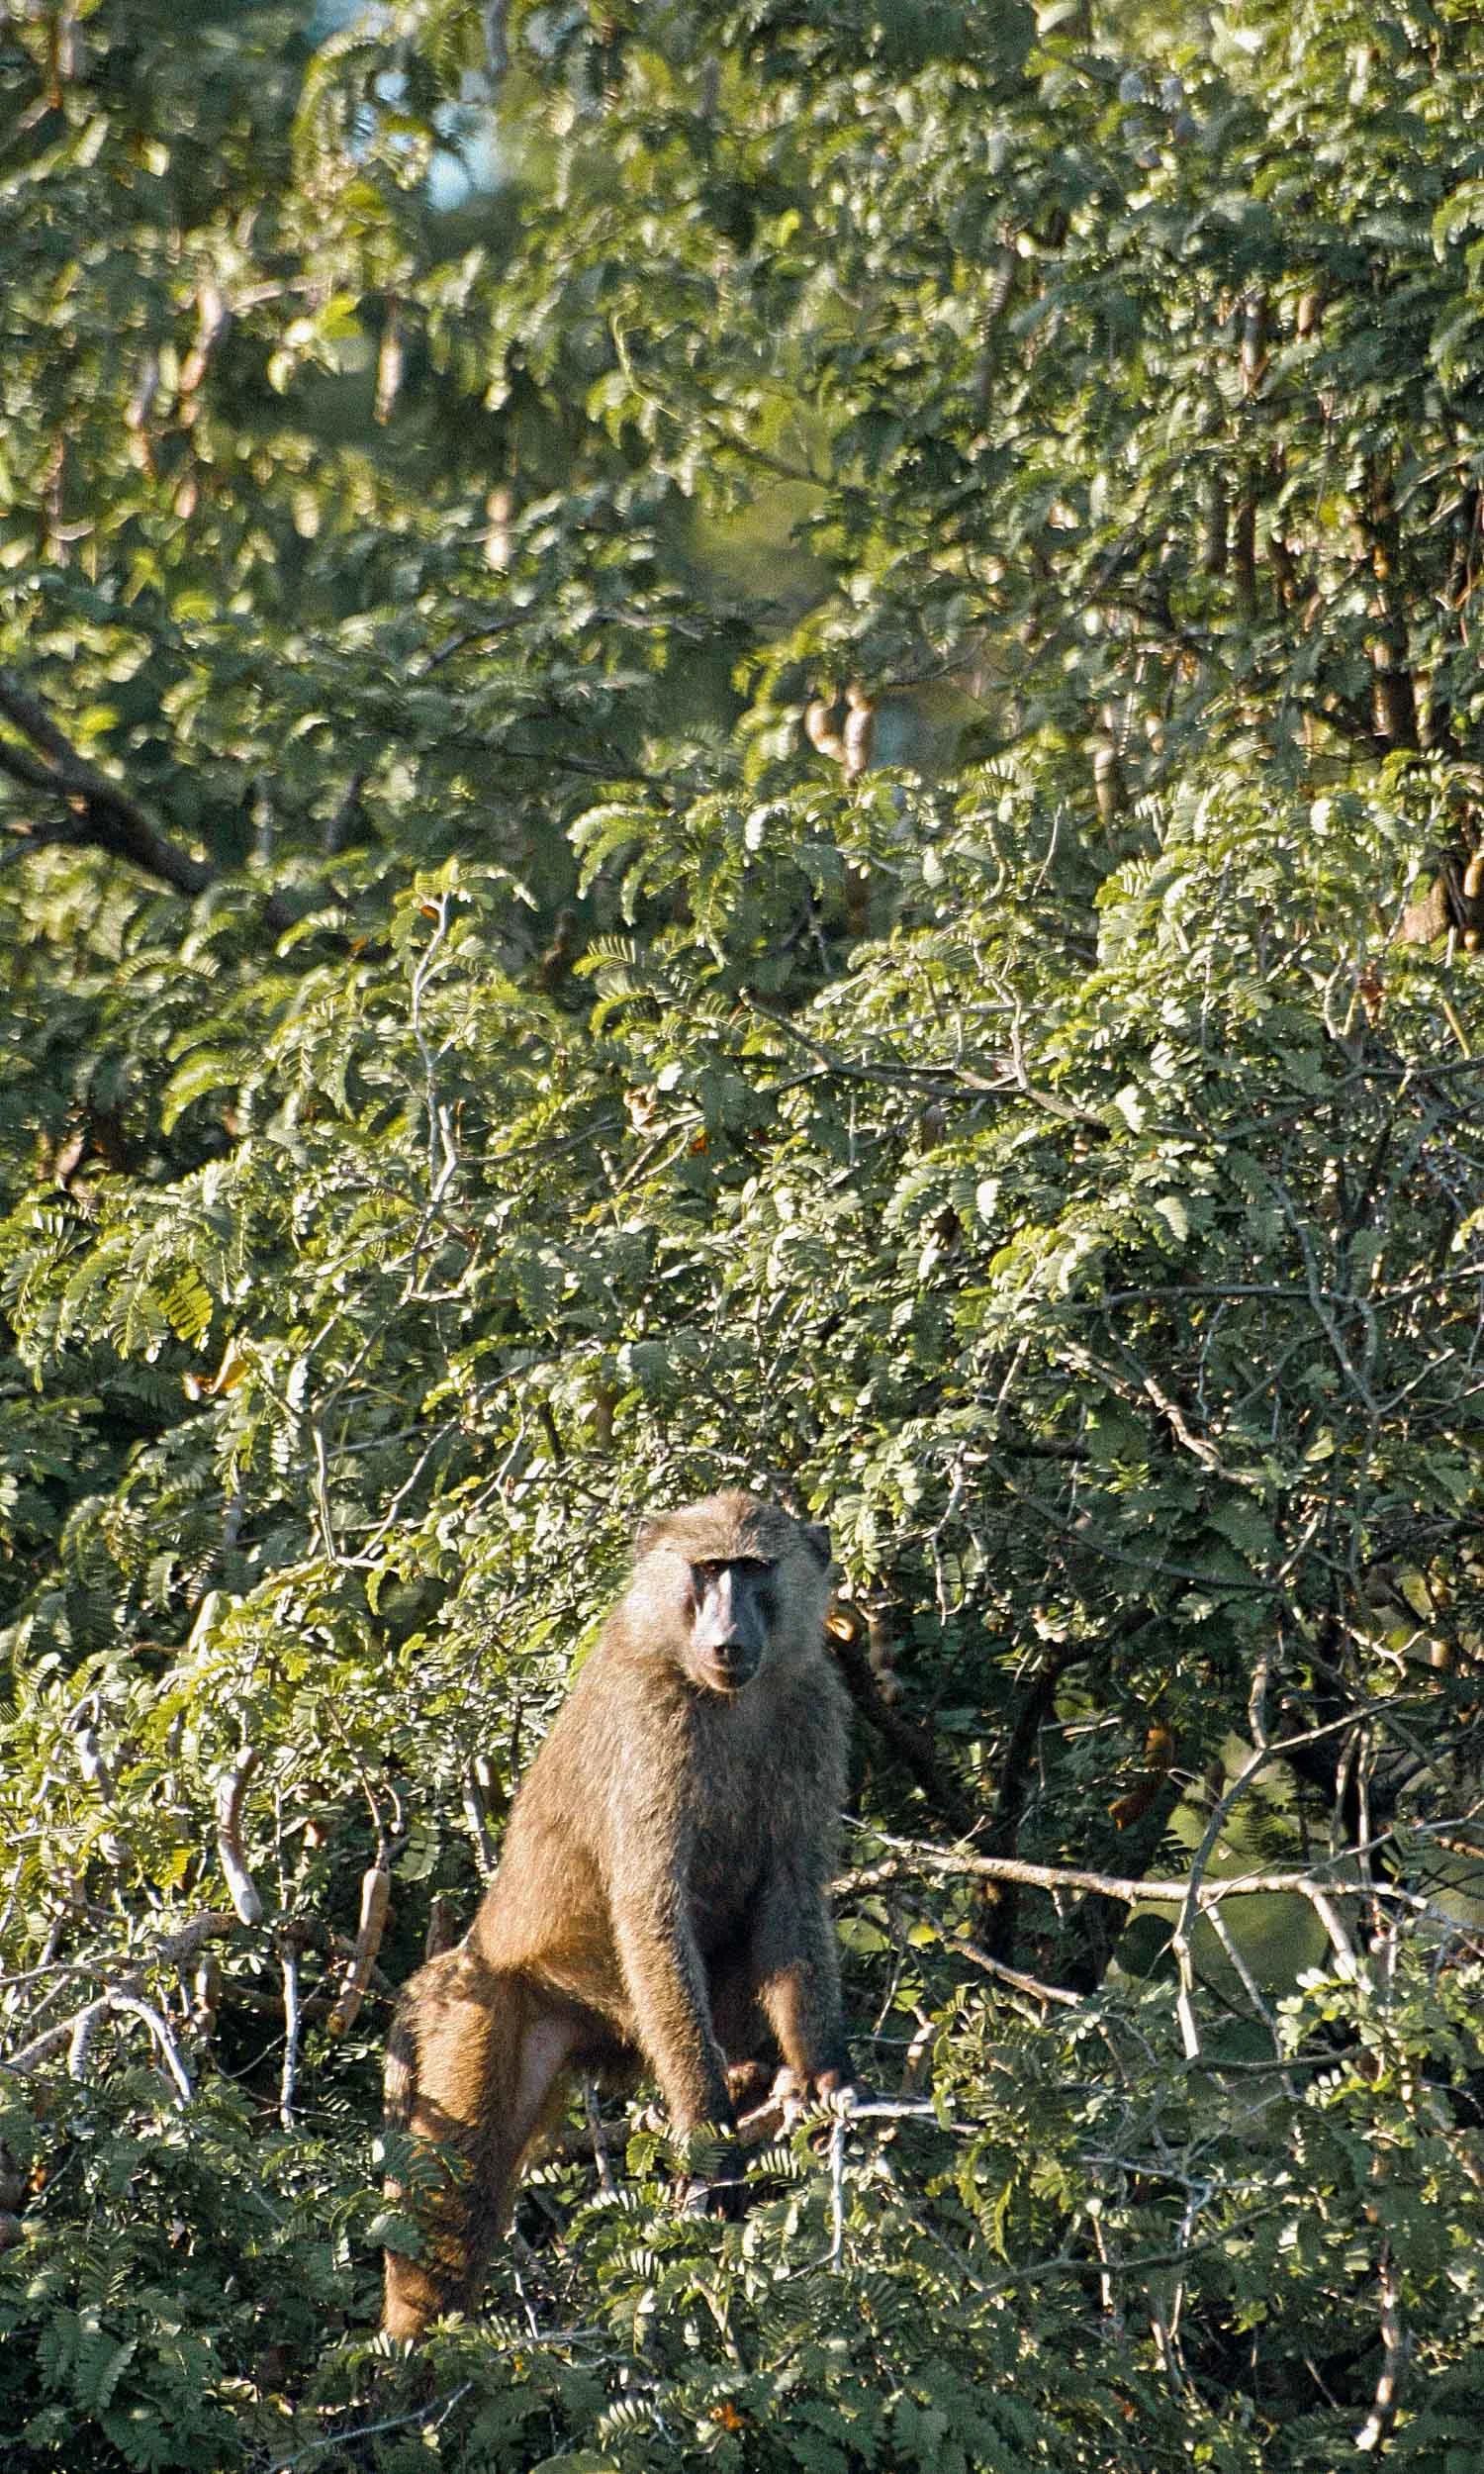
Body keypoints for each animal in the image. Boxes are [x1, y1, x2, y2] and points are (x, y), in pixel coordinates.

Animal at [381, 1492, 852, 2341]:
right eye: (707, 1571)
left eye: (753, 1570)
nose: (728, 1639)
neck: (730, 1699)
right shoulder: (651, 1730)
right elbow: (652, 1909)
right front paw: (708, 2132)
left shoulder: (814, 1711)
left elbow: (791, 1900)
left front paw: (827, 2074)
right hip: (484, 2015)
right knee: (452, 2213)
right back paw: (407, 2355)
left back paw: (752, 2076)